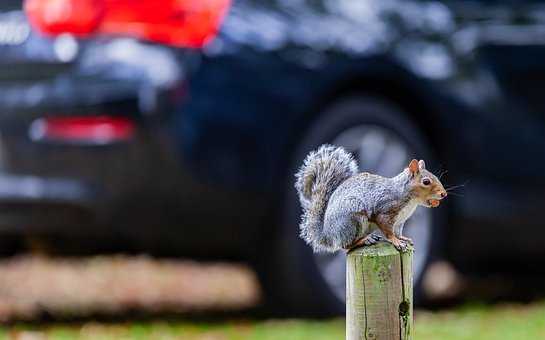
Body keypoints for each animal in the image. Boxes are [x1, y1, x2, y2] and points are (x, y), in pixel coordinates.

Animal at [294, 144, 446, 252]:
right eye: (426, 182)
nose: (443, 194)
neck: (409, 200)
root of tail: (328, 235)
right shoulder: (385, 210)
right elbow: (388, 231)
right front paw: (396, 241)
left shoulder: (400, 222)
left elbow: (398, 232)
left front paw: (403, 238)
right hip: (353, 220)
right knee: (346, 246)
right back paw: (364, 240)